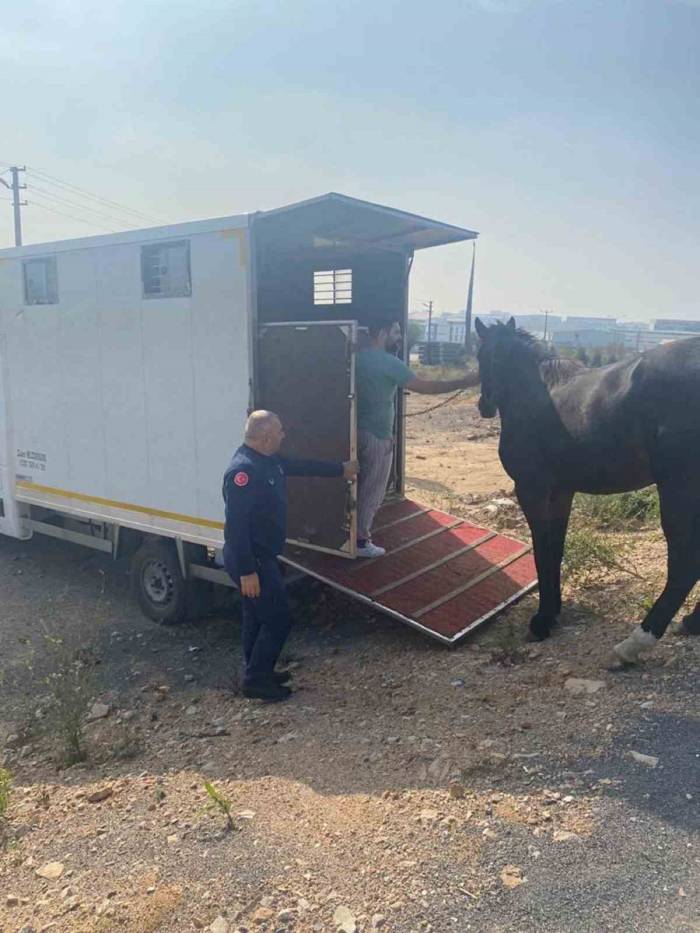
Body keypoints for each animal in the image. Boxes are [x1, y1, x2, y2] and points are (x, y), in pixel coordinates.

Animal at [474, 318, 700, 664]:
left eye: (480, 355)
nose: (484, 404)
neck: (535, 391)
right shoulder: (561, 492)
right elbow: (555, 549)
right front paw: (552, 612)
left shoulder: (532, 490)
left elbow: (541, 551)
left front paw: (541, 622)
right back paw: (692, 622)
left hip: (678, 488)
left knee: (686, 563)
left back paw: (633, 644)